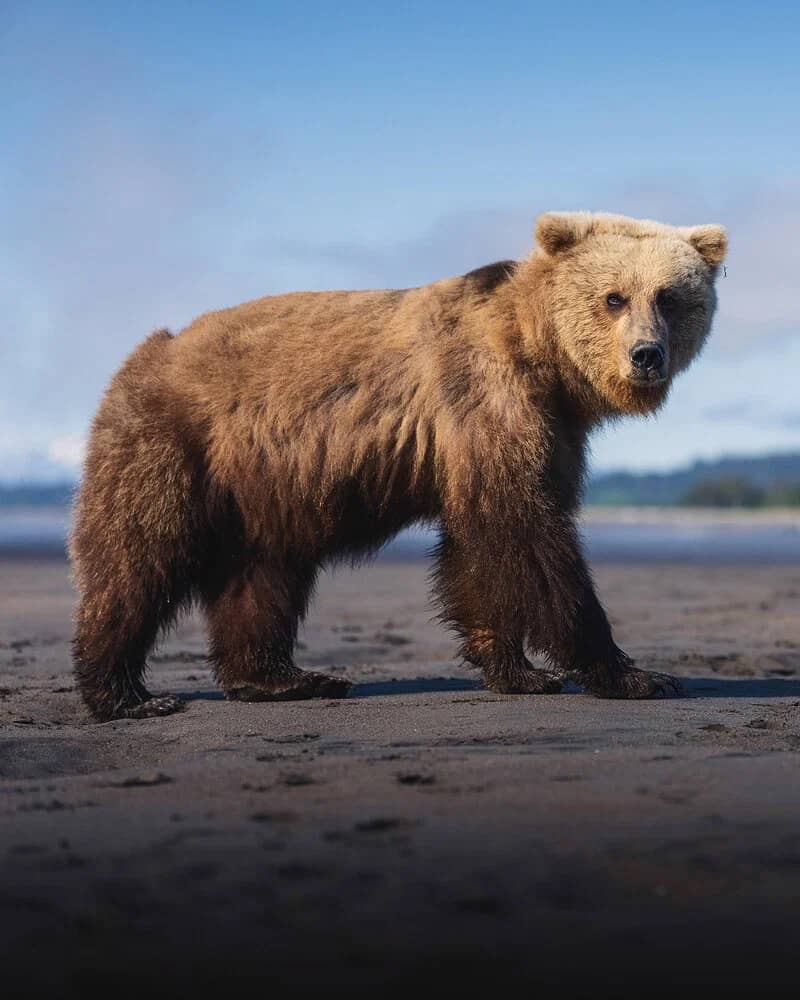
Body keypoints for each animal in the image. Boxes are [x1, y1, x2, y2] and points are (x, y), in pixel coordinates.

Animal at [70, 211, 727, 721]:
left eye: (670, 297)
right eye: (614, 296)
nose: (646, 355)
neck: (540, 353)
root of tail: (148, 351)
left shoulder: (548, 429)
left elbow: (482, 546)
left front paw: (517, 669)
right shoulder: (487, 397)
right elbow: (529, 535)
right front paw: (633, 674)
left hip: (264, 484)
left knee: (264, 574)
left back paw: (283, 678)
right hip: (171, 443)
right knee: (138, 555)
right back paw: (126, 694)